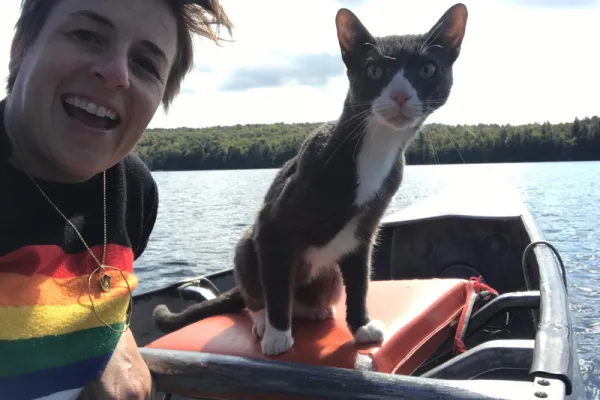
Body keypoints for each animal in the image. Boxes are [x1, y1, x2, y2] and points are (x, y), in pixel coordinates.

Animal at [154, 2, 468, 354]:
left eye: (427, 69)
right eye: (374, 71)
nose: (400, 95)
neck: (376, 147)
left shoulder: (365, 232)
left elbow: (360, 280)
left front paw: (361, 326)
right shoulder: (274, 225)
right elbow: (276, 282)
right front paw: (278, 335)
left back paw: (318, 309)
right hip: (247, 245)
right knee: (253, 289)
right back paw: (263, 321)